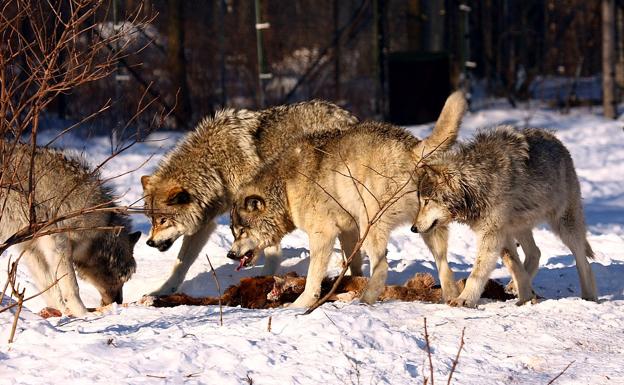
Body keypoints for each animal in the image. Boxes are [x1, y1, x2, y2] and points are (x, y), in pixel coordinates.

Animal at [0, 142, 140, 316]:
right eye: (122, 277)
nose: (118, 302)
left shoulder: (31, 249)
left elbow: (50, 288)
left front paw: (62, 312)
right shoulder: (57, 243)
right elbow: (72, 287)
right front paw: (84, 315)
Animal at [141, 100, 360, 294]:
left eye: (163, 220)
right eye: (151, 220)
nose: (149, 242)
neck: (215, 166)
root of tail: (350, 117)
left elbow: (270, 249)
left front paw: (265, 278)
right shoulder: (205, 222)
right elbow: (180, 264)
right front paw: (162, 291)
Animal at [227, 91, 466, 308]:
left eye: (242, 231)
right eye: (234, 232)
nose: (230, 254)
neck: (285, 187)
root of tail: (411, 149)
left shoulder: (323, 235)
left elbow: (313, 278)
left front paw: (299, 305)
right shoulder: (348, 232)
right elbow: (355, 266)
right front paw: (351, 282)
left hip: (371, 225)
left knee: (382, 267)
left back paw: (364, 300)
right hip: (426, 227)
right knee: (444, 266)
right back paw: (450, 298)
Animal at [412, 126, 596, 306]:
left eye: (426, 201)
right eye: (420, 202)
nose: (413, 228)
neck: (476, 181)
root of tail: (556, 140)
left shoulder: (491, 234)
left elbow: (477, 273)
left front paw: (464, 299)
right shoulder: (501, 233)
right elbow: (514, 265)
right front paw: (525, 298)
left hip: (564, 226)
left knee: (584, 263)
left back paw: (590, 297)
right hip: (519, 226)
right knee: (535, 253)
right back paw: (515, 286)